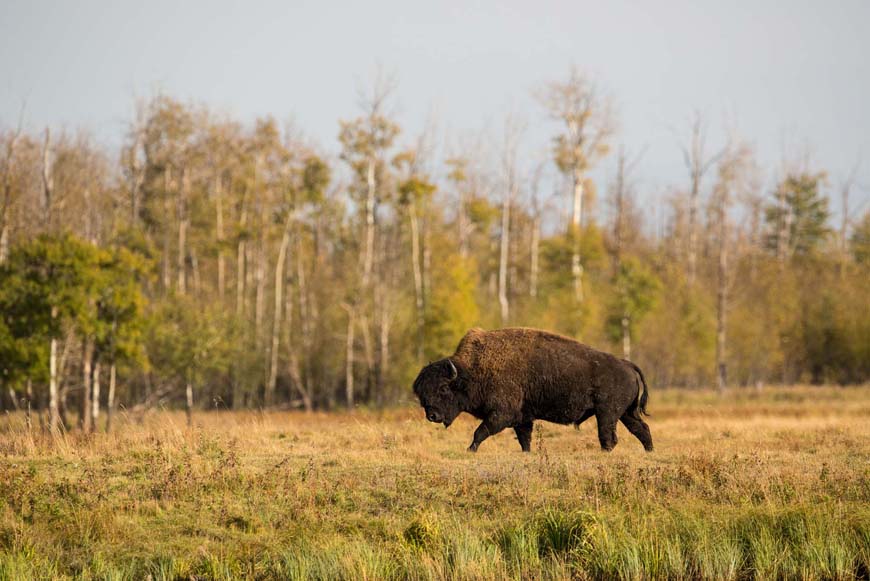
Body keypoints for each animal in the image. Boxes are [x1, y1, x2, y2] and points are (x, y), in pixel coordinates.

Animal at [412, 326, 652, 454]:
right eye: (422, 393)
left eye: (443, 388)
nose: (432, 415)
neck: (472, 371)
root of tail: (627, 364)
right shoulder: (522, 418)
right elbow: (524, 439)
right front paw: (527, 453)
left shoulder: (501, 415)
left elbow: (480, 431)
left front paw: (470, 450)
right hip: (625, 413)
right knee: (641, 429)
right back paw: (649, 450)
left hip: (607, 413)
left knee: (608, 436)